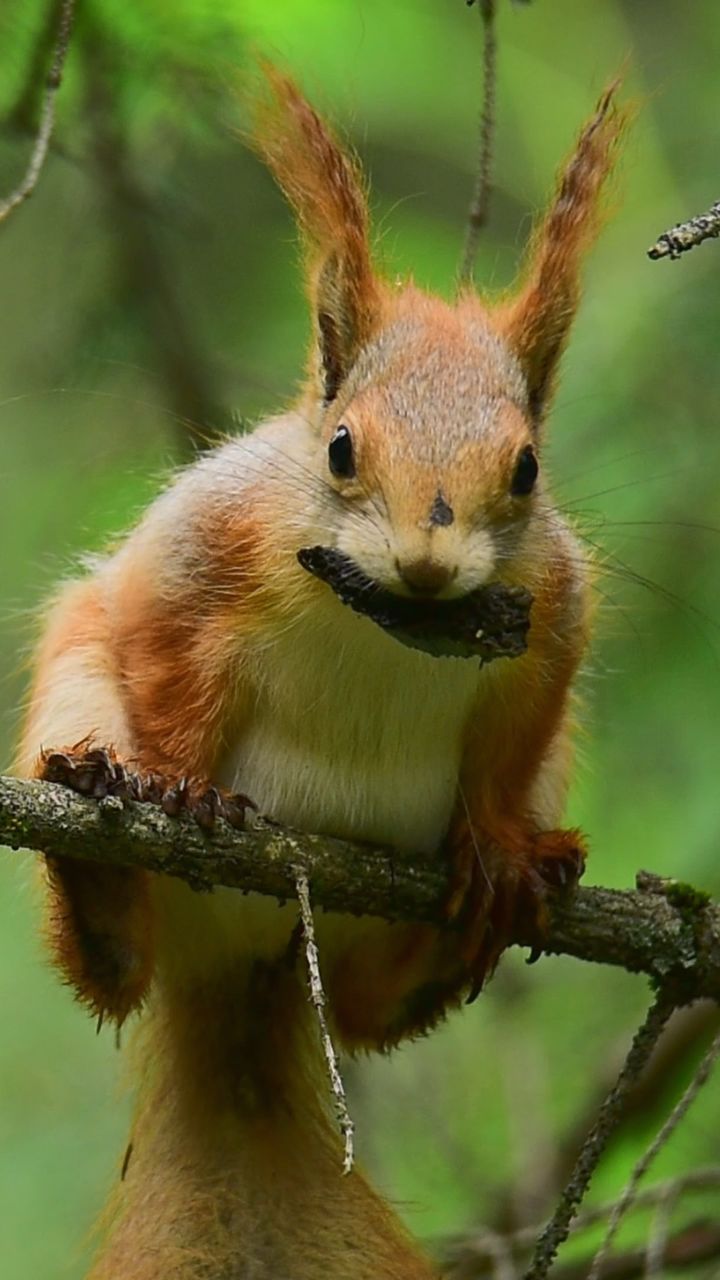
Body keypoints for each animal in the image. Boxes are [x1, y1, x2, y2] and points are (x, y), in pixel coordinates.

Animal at [15, 67, 622, 1280]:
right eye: (341, 448)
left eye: (526, 468)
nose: (428, 563)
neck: (392, 623)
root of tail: (244, 965)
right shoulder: (201, 556)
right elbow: (165, 656)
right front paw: (178, 781)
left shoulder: (552, 631)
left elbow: (513, 741)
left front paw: (495, 846)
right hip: (72, 704)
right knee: (111, 966)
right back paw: (100, 849)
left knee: (367, 1011)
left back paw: (485, 911)